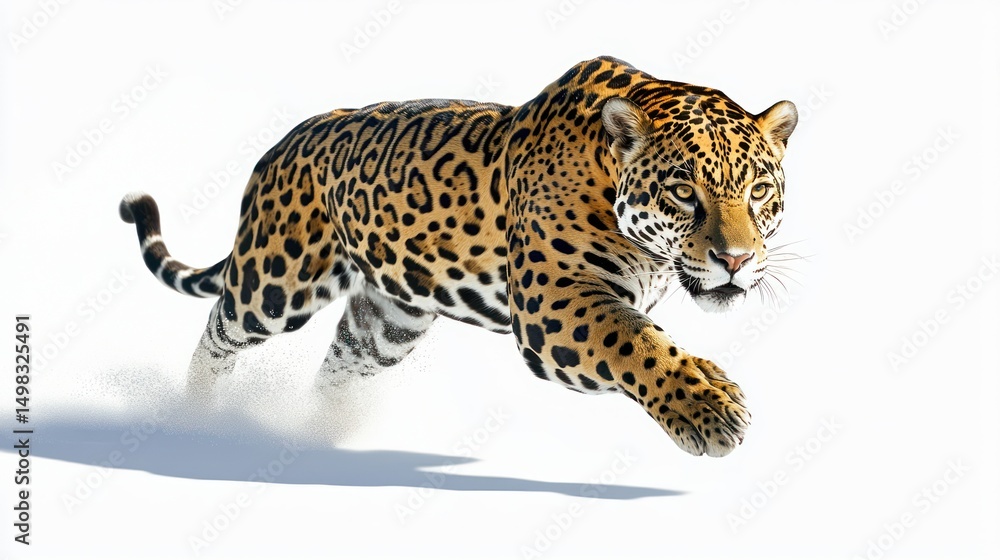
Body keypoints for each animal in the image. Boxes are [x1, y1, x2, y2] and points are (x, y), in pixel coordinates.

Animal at [119, 56, 797, 457]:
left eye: (759, 191)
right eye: (683, 192)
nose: (737, 260)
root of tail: (279, 145)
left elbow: (643, 333)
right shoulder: (555, 305)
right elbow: (634, 342)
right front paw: (707, 409)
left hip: (386, 323)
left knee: (335, 368)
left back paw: (321, 437)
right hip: (276, 280)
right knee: (218, 331)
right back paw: (193, 417)